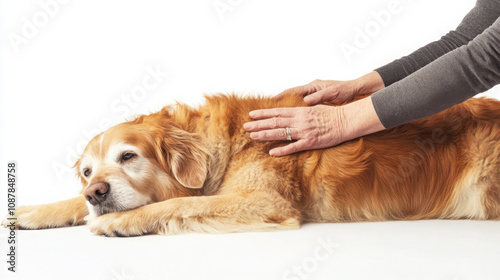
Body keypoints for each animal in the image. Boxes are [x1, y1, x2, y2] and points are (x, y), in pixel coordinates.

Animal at [0, 94, 500, 236]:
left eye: (128, 156)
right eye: (86, 173)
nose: (96, 192)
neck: (226, 146)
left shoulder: (265, 202)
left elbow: (175, 205)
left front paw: (120, 221)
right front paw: (31, 211)